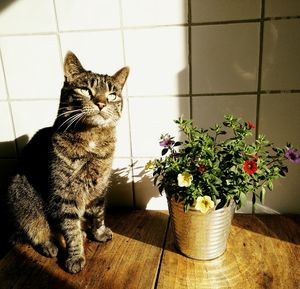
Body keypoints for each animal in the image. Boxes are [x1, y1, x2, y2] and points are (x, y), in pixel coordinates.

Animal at [7, 50, 129, 274]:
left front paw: (98, 233)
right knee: (36, 231)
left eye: (112, 94)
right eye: (85, 90)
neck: (92, 138)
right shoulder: (64, 194)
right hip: (22, 200)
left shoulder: (100, 188)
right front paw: (75, 256)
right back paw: (50, 246)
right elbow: (70, 229)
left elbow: (98, 214)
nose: (101, 103)